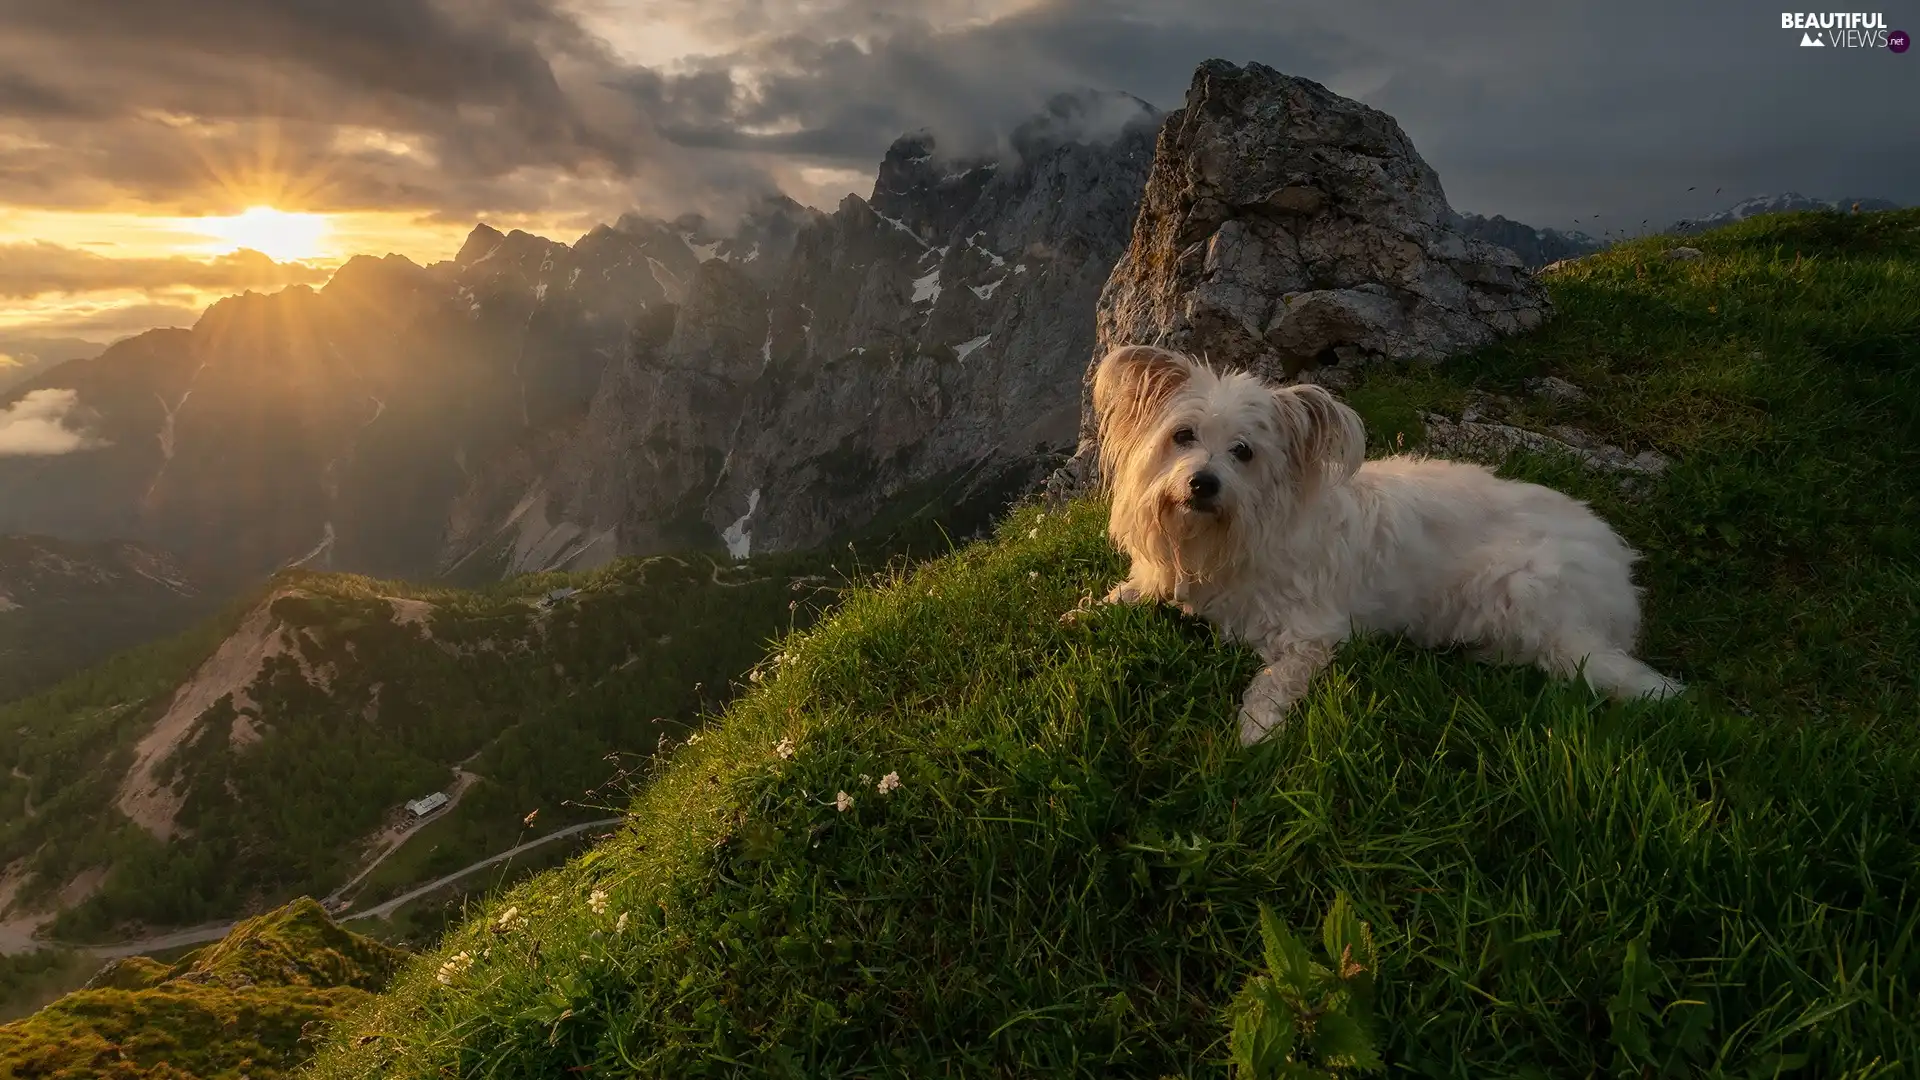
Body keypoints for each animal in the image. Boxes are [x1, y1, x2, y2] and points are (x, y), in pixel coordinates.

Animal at [1090, 342, 1689, 737]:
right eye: (1183, 435)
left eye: (1244, 451)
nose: (1202, 483)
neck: (1224, 540)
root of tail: (1619, 569)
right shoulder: (1162, 577)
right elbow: (1119, 596)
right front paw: (1083, 613)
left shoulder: (1310, 635)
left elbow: (1275, 682)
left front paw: (1253, 733)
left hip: (1521, 592)